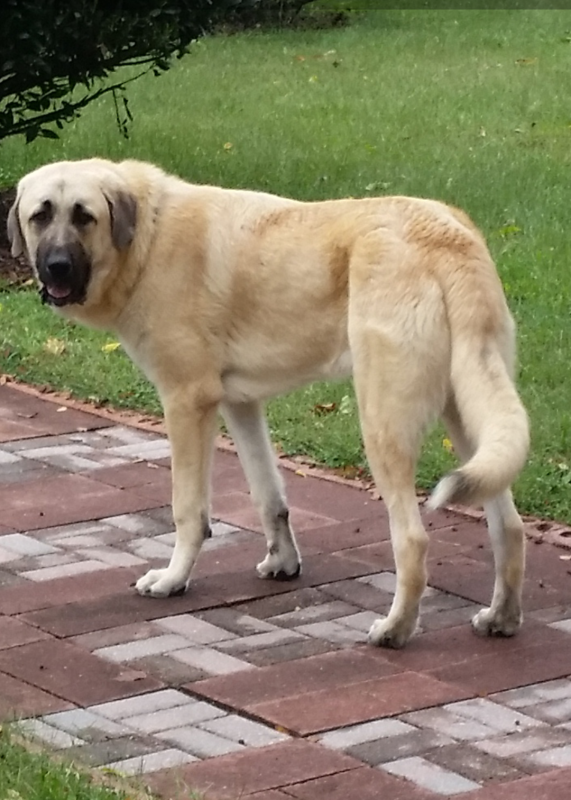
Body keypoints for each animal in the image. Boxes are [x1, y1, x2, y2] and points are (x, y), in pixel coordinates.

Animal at [7, 159, 532, 648]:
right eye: (40, 215)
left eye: (84, 216)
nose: (56, 267)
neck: (147, 240)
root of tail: (446, 236)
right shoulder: (239, 404)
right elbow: (268, 496)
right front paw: (284, 561)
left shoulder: (187, 402)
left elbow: (188, 510)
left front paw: (174, 579)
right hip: (468, 416)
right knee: (508, 525)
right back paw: (501, 618)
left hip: (384, 422)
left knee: (413, 538)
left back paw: (395, 629)